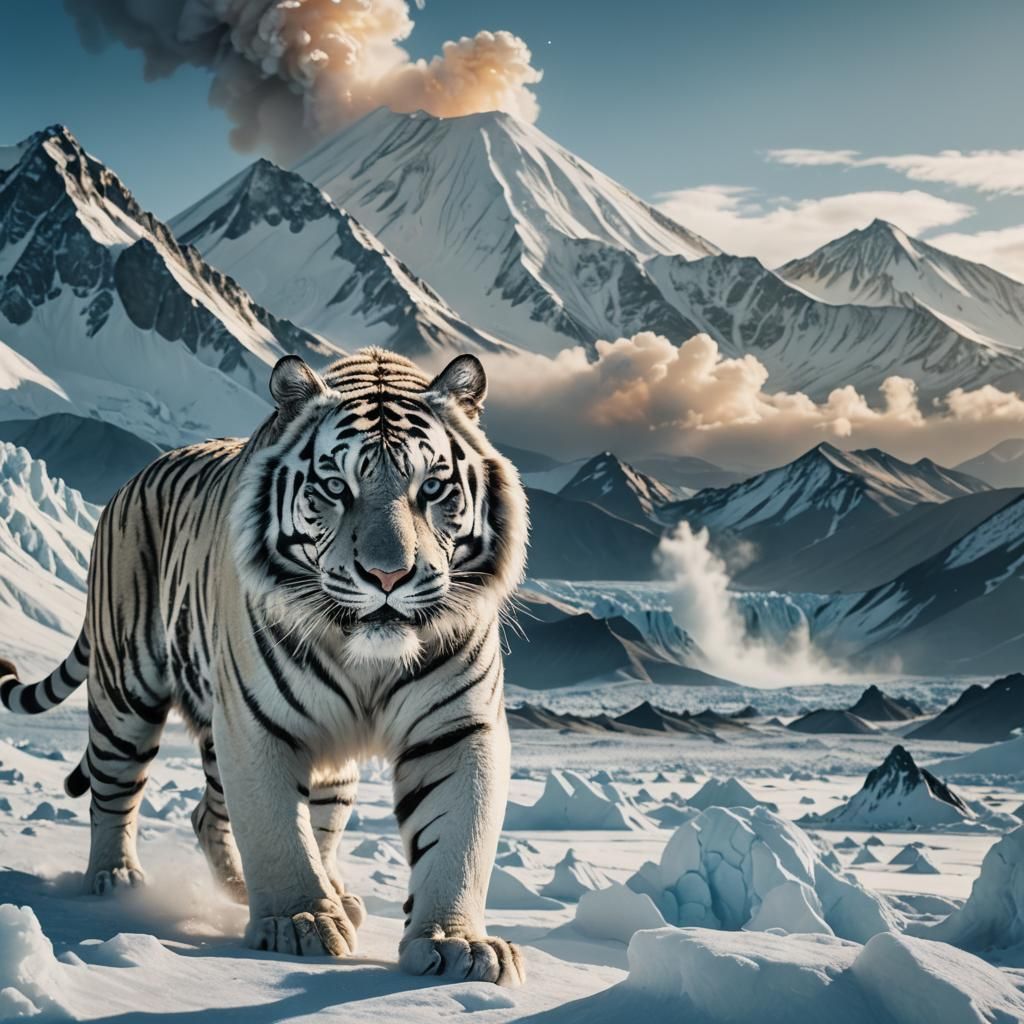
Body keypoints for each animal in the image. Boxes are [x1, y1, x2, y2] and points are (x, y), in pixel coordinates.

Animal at [0, 348, 529, 987]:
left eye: (431, 487)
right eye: (335, 487)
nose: (388, 576)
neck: (368, 660)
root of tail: (133, 480)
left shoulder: (458, 727)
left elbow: (457, 837)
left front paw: (458, 945)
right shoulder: (256, 723)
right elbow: (277, 830)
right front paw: (299, 923)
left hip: (310, 759)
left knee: (216, 813)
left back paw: (269, 889)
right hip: (126, 693)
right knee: (115, 791)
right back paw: (117, 881)